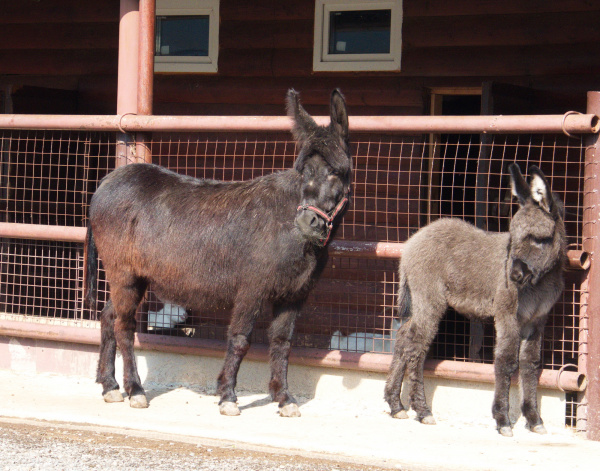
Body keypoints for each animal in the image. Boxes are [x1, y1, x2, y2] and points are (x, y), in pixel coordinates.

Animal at [85, 89, 351, 417]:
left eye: (336, 172)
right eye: (303, 172)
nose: (306, 222)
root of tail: (107, 181)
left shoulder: (293, 296)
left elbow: (282, 343)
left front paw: (284, 398)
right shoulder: (251, 289)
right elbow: (240, 340)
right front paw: (228, 396)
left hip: (135, 277)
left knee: (109, 316)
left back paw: (110, 386)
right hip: (123, 272)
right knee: (124, 325)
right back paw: (135, 390)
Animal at [384, 164, 566, 436]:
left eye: (538, 238)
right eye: (512, 237)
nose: (513, 276)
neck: (539, 284)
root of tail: (411, 243)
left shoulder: (537, 320)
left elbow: (530, 363)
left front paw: (534, 419)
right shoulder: (507, 313)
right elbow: (506, 361)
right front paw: (503, 420)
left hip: (420, 300)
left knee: (404, 336)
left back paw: (396, 404)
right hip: (430, 297)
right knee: (417, 345)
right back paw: (423, 411)